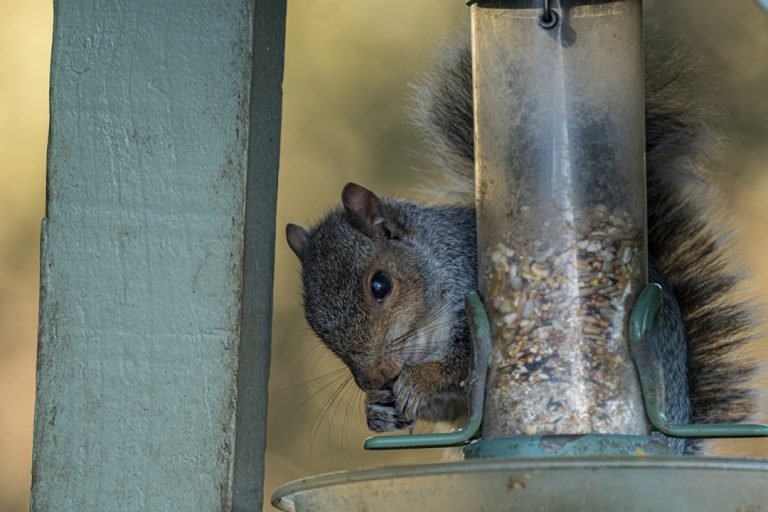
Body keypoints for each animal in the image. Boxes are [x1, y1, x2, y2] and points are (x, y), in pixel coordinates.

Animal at [285, 30, 759, 455]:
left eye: (380, 285)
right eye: (313, 321)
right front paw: (378, 410)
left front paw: (418, 380)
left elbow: (462, 363)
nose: (372, 378)